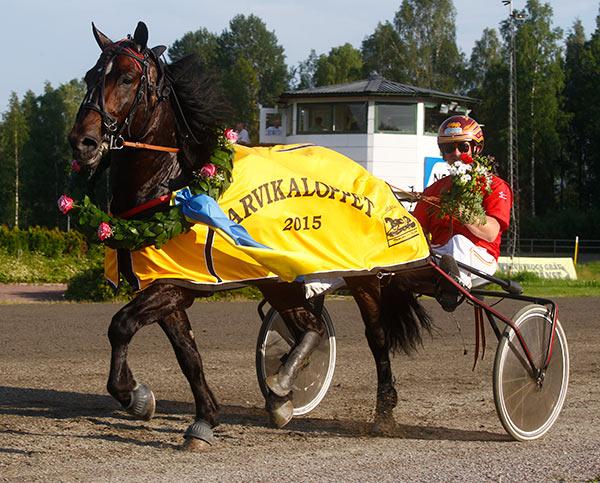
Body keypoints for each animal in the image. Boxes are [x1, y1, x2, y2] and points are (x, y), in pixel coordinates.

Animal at [68, 21, 438, 454]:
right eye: (90, 77)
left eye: (126, 77)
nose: (83, 142)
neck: (173, 184)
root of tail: (371, 177)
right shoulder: (166, 283)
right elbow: (187, 354)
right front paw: (200, 419)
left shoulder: (176, 285)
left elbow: (121, 325)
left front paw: (135, 396)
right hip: (281, 277)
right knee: (311, 327)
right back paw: (281, 392)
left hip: (362, 274)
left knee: (375, 336)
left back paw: (379, 412)